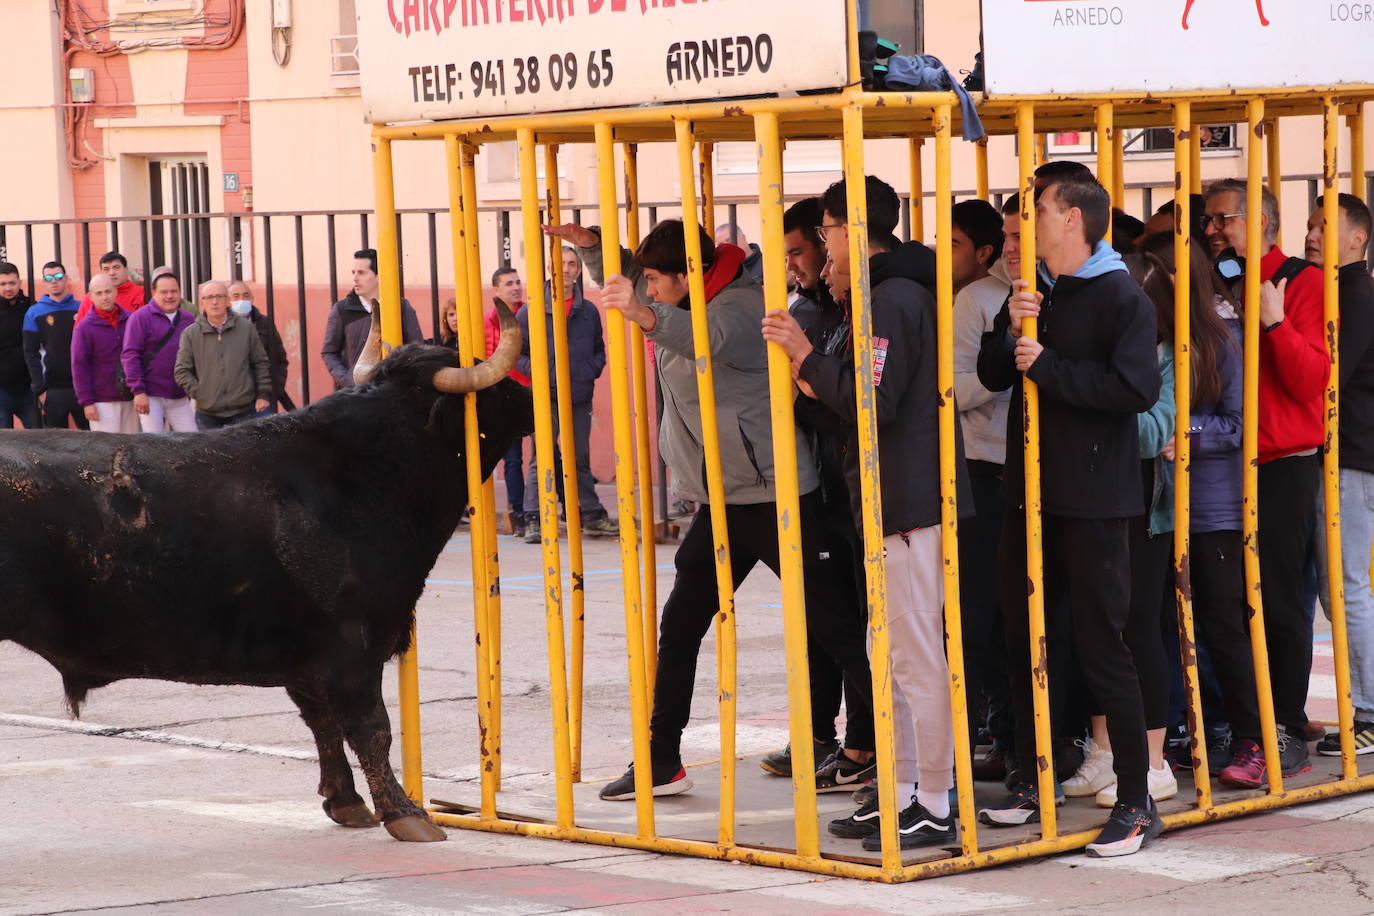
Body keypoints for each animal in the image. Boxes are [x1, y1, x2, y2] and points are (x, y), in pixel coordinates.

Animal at [0, 304, 530, 840]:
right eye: (490, 383)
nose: (533, 399)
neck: (360, 473)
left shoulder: (309, 656)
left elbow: (323, 724)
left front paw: (346, 802)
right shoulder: (353, 645)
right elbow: (371, 727)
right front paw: (407, 814)